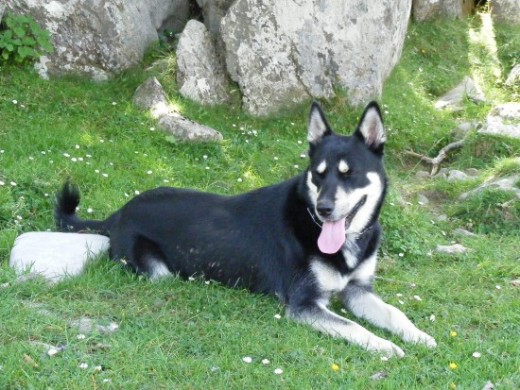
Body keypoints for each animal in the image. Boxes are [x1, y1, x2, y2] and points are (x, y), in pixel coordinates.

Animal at [55, 101, 434, 356]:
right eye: (318, 174)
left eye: (349, 173)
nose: (324, 210)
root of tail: (117, 214)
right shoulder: (305, 304)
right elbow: (353, 326)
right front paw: (384, 345)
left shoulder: (359, 291)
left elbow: (395, 312)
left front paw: (419, 335)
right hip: (159, 271)